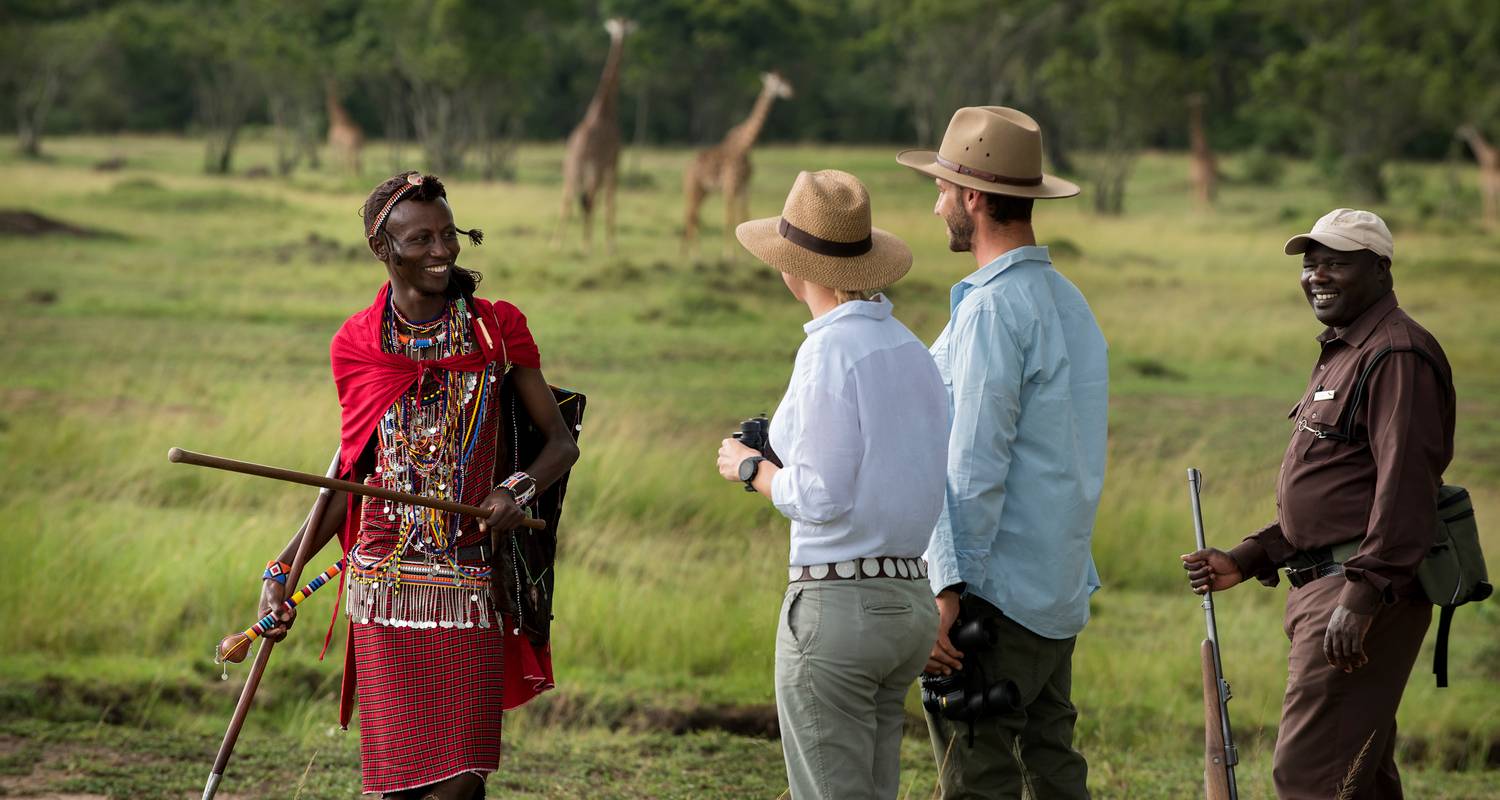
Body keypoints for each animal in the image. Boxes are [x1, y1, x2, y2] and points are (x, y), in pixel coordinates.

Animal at [558, 17, 639, 253]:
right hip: (593, 170)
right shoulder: (614, 161)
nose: (621, 35)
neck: (604, 111)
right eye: (620, 29)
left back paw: (557, 243)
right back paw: (586, 246)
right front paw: (611, 244)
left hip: (571, 170)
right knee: (591, 199)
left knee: (568, 199)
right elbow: (611, 201)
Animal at [684, 71, 798, 256]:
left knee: (693, 214)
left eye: (786, 80)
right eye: (775, 82)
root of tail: (688, 168)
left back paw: (687, 253)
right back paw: (694, 255)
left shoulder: (745, 186)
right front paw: (728, 255)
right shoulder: (730, 185)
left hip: (704, 190)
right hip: (694, 187)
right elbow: (729, 218)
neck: (746, 145)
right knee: (692, 214)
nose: (790, 92)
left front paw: (745, 255)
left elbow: (744, 216)